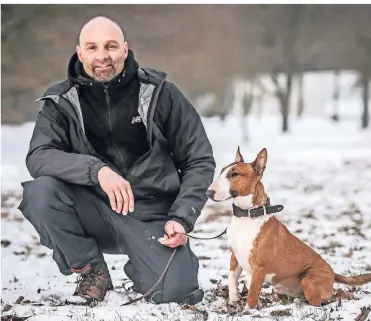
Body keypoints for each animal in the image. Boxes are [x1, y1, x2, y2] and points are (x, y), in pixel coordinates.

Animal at [206, 147, 371, 310]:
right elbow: (232, 278)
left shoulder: (259, 268)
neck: (247, 216)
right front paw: (233, 300)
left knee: (330, 298)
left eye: (234, 174)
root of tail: (333, 273)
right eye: (221, 171)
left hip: (308, 280)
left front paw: (248, 312)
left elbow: (252, 294)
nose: (209, 192)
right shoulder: (235, 256)